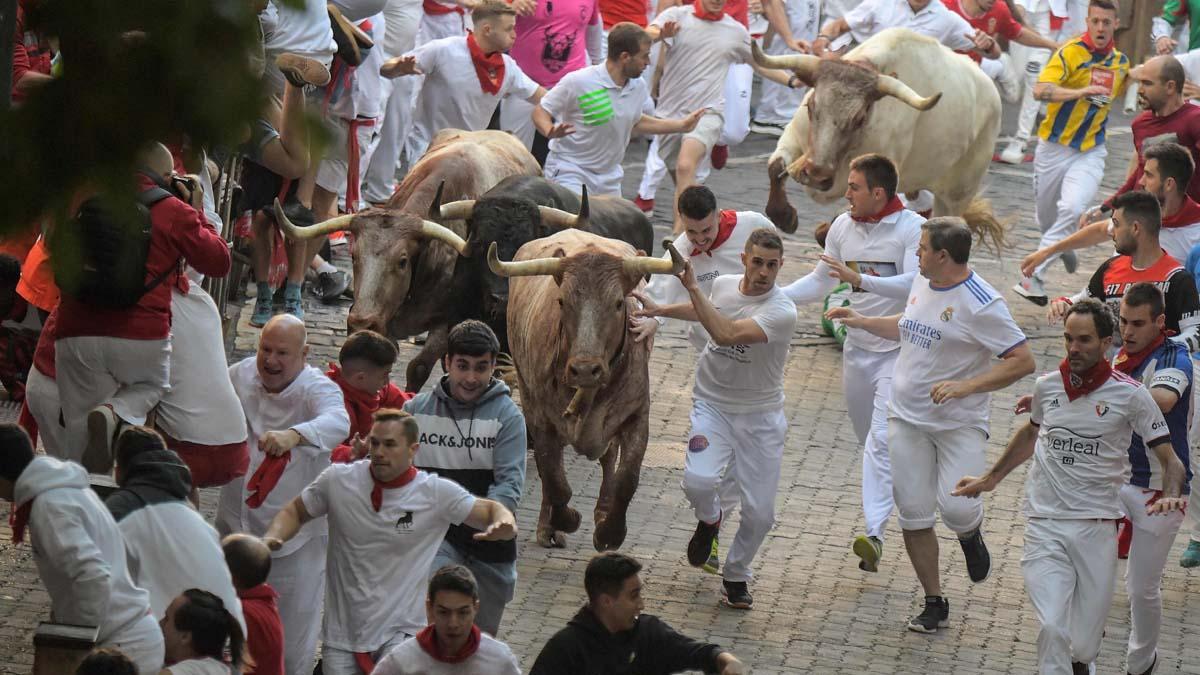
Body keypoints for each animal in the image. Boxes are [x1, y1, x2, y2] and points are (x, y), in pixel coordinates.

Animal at [274, 128, 542, 389]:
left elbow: (419, 367)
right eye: (354, 255)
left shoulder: (447, 323)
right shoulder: (385, 321)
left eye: (402, 261)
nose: (361, 322)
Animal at [489, 228, 681, 550]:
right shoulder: (540, 418)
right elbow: (555, 480)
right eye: (562, 302)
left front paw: (609, 532)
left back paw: (601, 511)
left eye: (618, 303)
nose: (585, 369)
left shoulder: (637, 415)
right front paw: (564, 520)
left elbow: (626, 478)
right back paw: (548, 527)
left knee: (608, 458)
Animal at [758, 28, 1003, 248]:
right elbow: (775, 166)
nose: (816, 175)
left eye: (859, 118)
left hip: (957, 192)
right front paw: (785, 216)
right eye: (810, 106)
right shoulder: (794, 136)